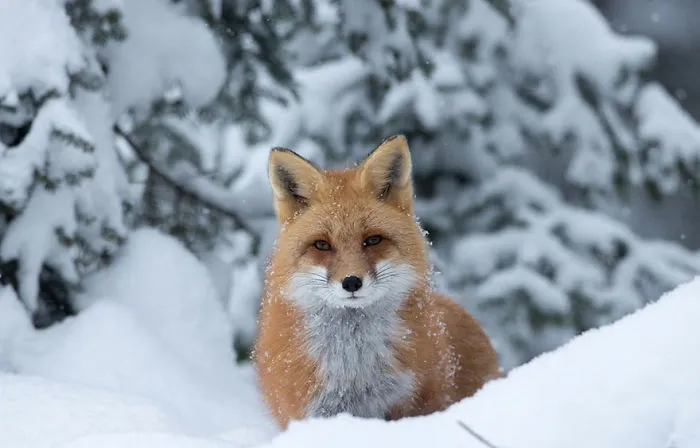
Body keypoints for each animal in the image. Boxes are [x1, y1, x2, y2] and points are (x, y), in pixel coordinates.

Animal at [253, 135, 502, 429]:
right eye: (322, 245)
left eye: (372, 240)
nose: (351, 282)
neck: (355, 370)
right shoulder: (312, 410)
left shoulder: (415, 399)